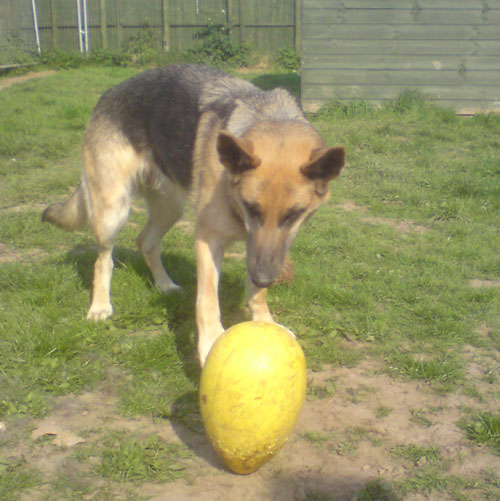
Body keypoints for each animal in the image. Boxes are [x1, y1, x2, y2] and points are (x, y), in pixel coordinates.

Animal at [43, 64, 346, 366]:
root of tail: (109, 92)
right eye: (250, 207)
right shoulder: (209, 239)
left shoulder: (264, 248)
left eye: (294, 215)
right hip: (113, 211)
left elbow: (257, 294)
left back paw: (164, 284)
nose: (265, 277)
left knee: (146, 241)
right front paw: (211, 342)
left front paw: (264, 321)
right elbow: (207, 299)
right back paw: (100, 305)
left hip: (170, 207)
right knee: (103, 260)